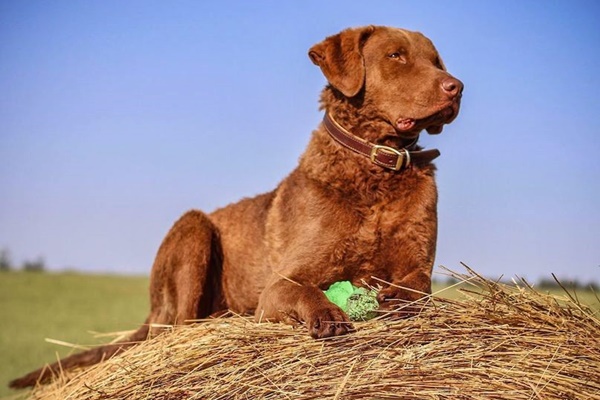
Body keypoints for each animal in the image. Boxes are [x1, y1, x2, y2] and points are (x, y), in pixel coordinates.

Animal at [9, 25, 462, 388]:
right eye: (395, 56)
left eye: (435, 60)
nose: (456, 86)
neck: (375, 168)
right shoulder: (280, 285)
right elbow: (306, 290)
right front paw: (329, 314)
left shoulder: (417, 262)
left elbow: (418, 286)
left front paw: (396, 299)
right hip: (193, 230)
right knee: (178, 328)